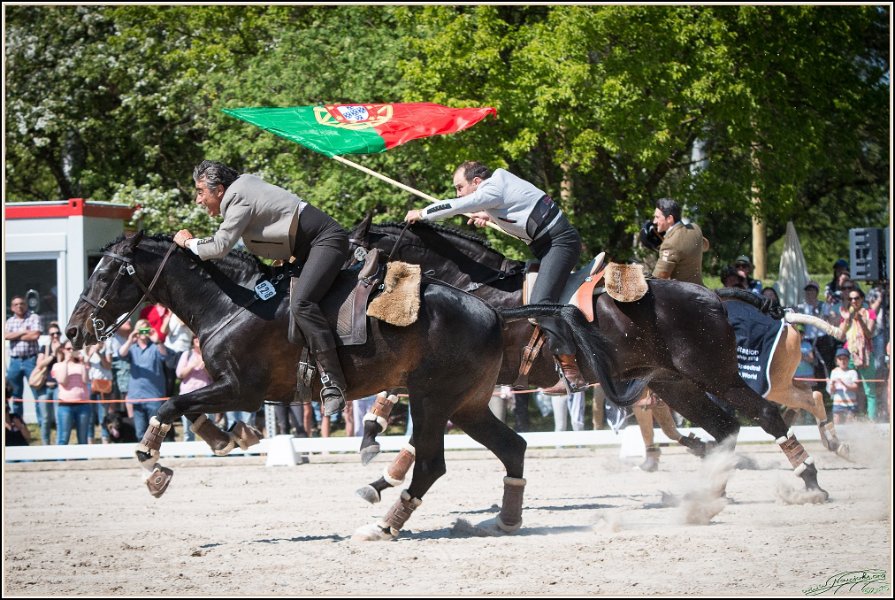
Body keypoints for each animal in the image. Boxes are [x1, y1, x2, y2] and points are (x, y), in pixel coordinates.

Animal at [65, 231, 632, 540]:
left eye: (106, 273)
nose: (72, 332)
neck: (233, 302)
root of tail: (493, 311)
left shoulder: (243, 388)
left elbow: (172, 403)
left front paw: (152, 463)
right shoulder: (233, 388)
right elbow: (185, 405)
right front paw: (224, 438)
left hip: (433, 399)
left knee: (431, 463)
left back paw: (385, 525)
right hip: (467, 404)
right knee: (511, 448)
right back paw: (504, 521)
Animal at [347, 216, 829, 502]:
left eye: (354, 252)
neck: (474, 286)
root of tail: (712, 294)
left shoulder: (459, 376)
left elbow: (413, 423)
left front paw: (378, 459)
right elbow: (398, 406)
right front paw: (375, 454)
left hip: (717, 374)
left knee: (766, 415)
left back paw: (810, 478)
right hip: (674, 383)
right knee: (725, 426)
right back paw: (711, 490)